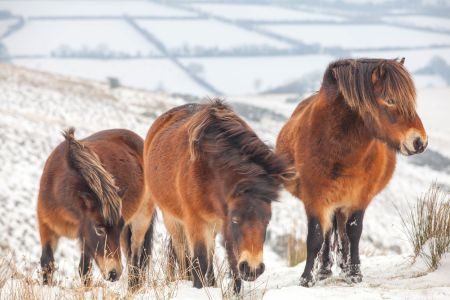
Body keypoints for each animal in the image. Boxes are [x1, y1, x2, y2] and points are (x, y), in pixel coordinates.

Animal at [142, 101, 296, 292]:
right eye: (236, 220)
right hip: (172, 220)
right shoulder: (198, 222)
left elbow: (231, 260)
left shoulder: (223, 223)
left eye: (267, 221)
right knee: (183, 254)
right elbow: (200, 261)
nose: (252, 269)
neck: (207, 171)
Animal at [276, 58, 428, 286]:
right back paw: (324, 270)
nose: (420, 142)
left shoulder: (359, 198)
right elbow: (315, 237)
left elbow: (354, 232)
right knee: (329, 233)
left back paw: (343, 267)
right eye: (390, 100)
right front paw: (306, 278)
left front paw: (354, 272)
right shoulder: (315, 199)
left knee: (343, 233)